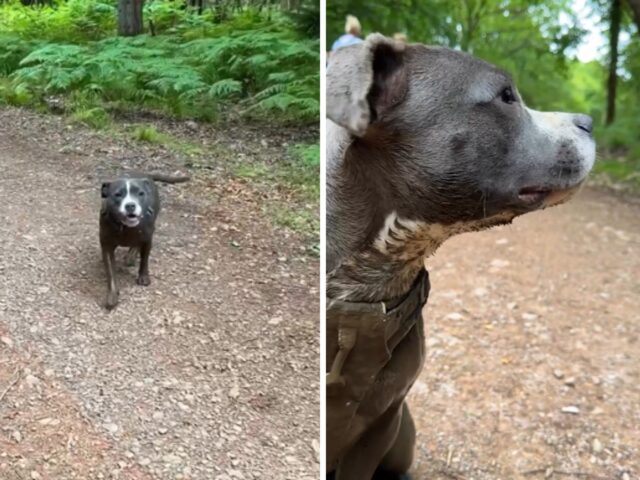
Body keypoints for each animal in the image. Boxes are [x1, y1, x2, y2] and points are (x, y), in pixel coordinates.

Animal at [100, 172, 189, 312]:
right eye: (118, 194)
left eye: (140, 193)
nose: (130, 205)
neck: (126, 227)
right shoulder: (107, 246)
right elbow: (111, 273)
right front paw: (112, 295)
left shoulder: (147, 240)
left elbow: (144, 260)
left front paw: (143, 277)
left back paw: (131, 256)